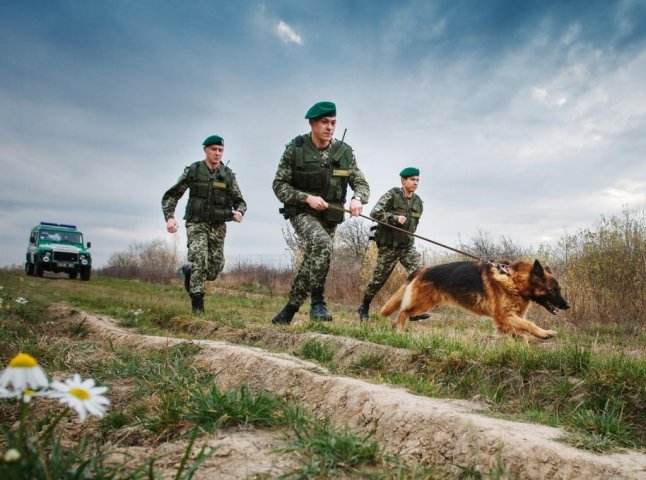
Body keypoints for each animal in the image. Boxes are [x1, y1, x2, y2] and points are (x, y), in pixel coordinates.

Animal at [380, 260, 572, 340]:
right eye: (554, 290)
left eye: (559, 290)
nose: (568, 306)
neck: (514, 281)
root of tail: (421, 269)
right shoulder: (505, 316)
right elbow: (530, 324)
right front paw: (544, 333)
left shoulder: (509, 319)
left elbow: (521, 330)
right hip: (423, 302)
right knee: (403, 312)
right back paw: (398, 330)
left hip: (426, 303)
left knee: (408, 313)